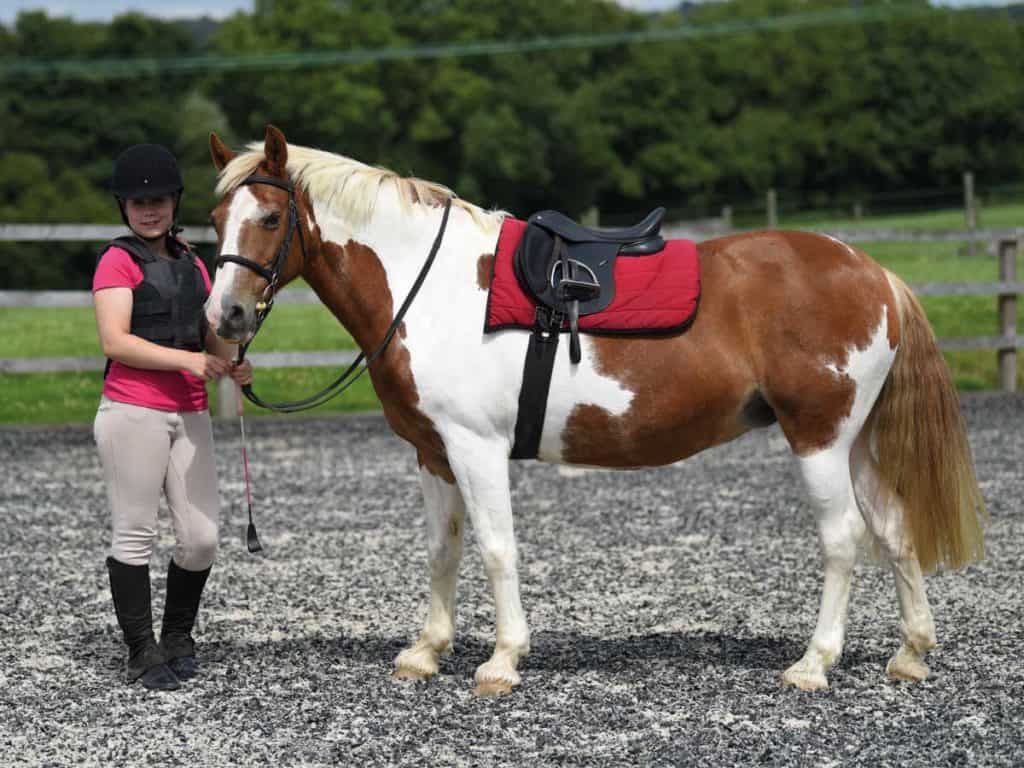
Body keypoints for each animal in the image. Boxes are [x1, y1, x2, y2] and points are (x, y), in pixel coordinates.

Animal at [201, 124, 983, 696]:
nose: (224, 315)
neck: (430, 288)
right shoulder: (432, 453)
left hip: (819, 438)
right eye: (214, 219)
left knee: (844, 538)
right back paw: (911, 654)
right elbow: (442, 550)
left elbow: (496, 547)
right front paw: (425, 651)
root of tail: (873, 271)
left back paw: (813, 664)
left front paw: (501, 661)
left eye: (269, 216)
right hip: (856, 441)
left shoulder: (476, 447)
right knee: (895, 530)